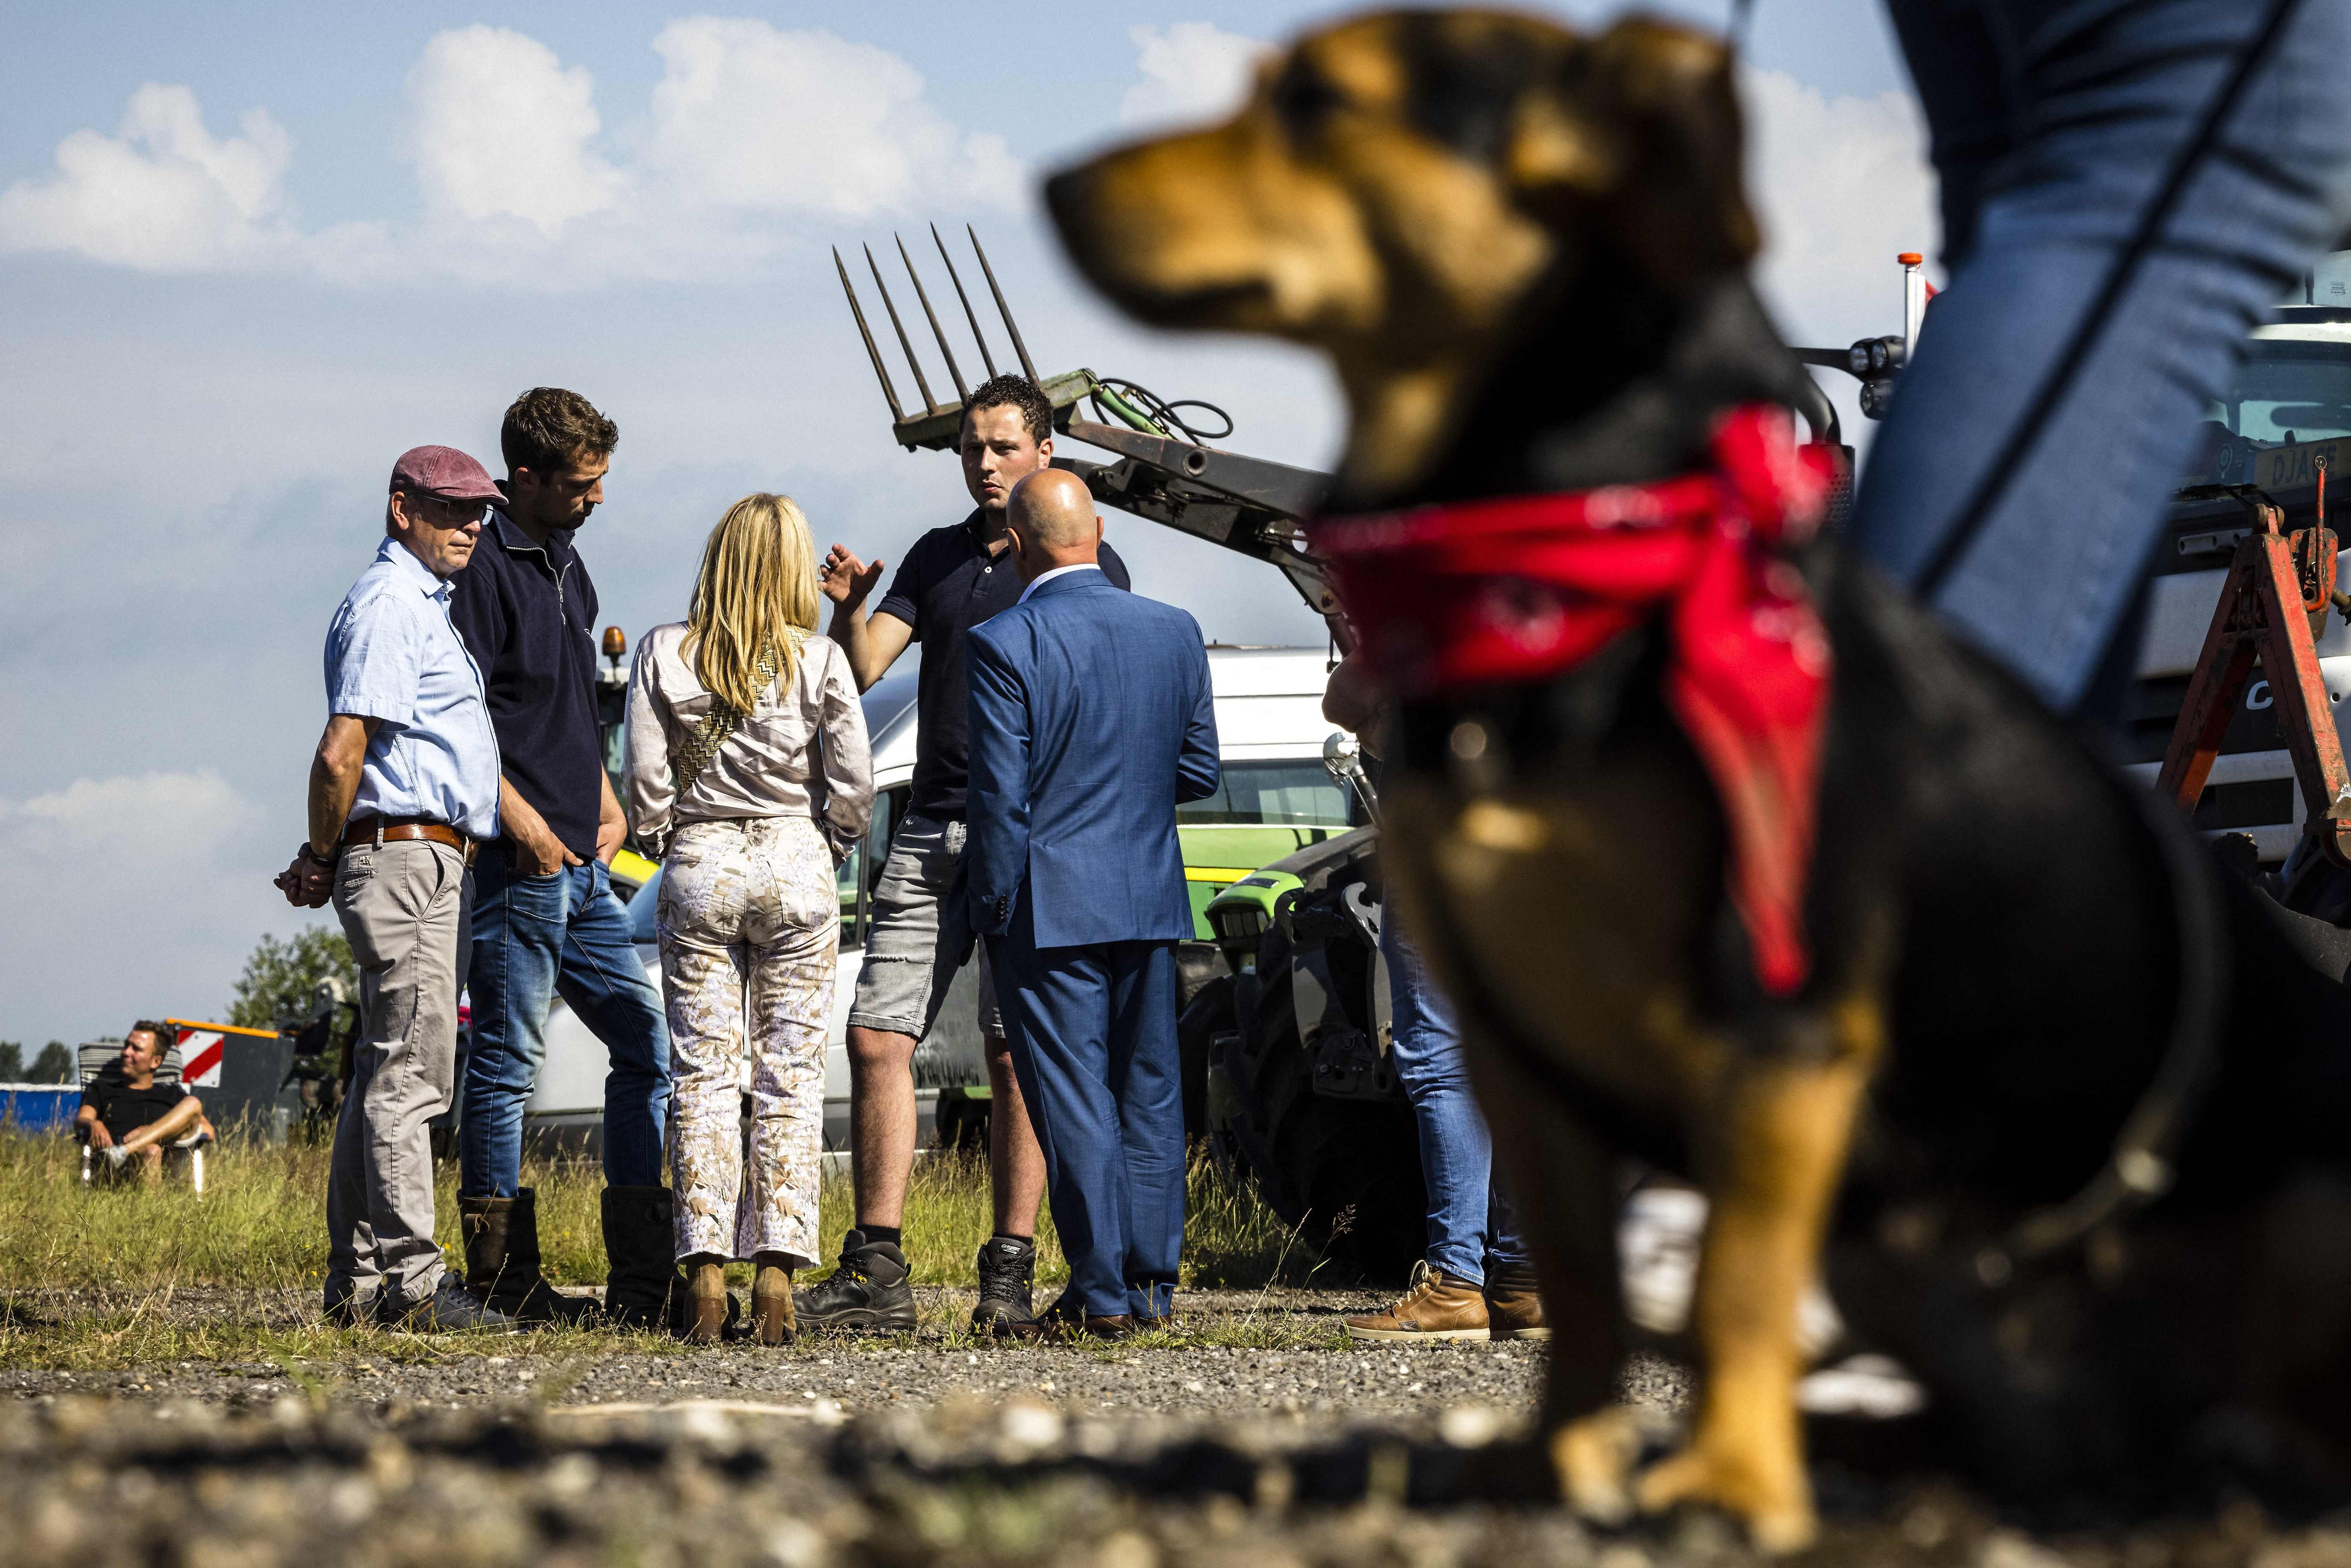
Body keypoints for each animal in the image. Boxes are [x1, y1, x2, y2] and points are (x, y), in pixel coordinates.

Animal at [1053, 6, 2351, 1551]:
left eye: (1320, 100)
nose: (1055, 188)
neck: (1574, 563)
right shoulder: (1512, 1036)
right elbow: (1579, 1281)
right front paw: (1563, 1455)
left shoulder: (1773, 1008)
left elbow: (1734, 1264)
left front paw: (1727, 1479)